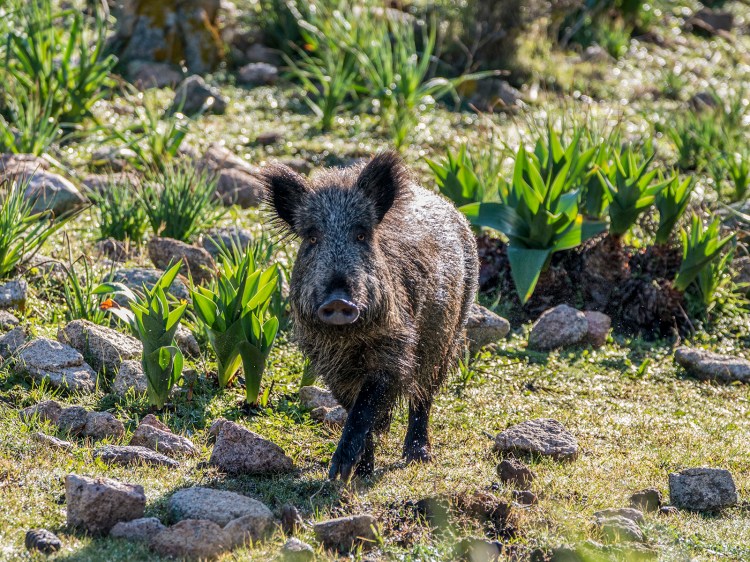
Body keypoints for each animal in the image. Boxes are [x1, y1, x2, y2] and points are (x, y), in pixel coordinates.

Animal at [263, 151, 478, 481]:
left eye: (361, 234)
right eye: (312, 237)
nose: (339, 300)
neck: (349, 340)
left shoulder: (396, 349)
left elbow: (366, 405)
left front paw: (340, 471)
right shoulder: (328, 362)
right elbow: (353, 406)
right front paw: (359, 472)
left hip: (449, 334)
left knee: (424, 394)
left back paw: (418, 456)